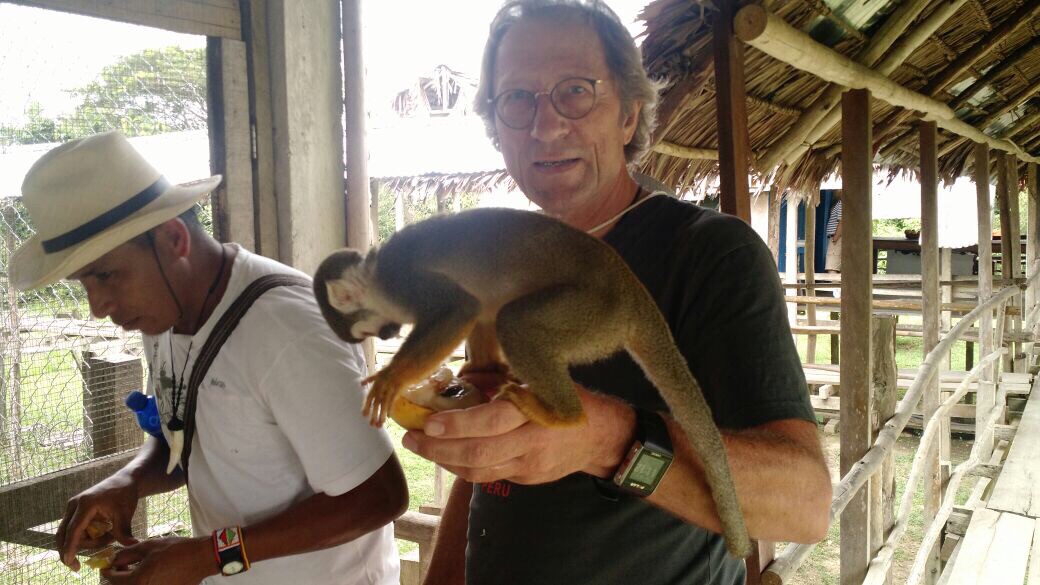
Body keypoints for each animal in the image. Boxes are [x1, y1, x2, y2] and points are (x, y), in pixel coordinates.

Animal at [312, 207, 752, 559]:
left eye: (365, 329)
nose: (387, 334)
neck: (376, 274)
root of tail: (632, 295)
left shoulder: (401, 277)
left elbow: (459, 308)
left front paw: (392, 378)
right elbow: (477, 310)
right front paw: (481, 372)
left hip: (592, 312)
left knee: (514, 321)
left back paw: (563, 414)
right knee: (499, 311)